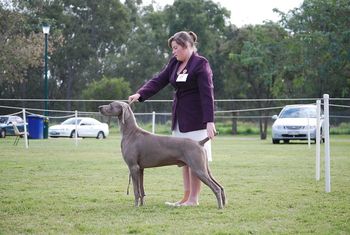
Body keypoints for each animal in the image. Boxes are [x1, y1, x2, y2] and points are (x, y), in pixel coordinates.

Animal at [98, 100, 227, 208]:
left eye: (111, 105)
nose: (99, 107)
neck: (131, 133)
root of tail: (199, 142)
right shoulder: (140, 169)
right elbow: (142, 190)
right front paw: (142, 205)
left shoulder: (133, 167)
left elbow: (136, 190)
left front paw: (135, 206)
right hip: (205, 168)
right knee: (220, 186)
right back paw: (224, 204)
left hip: (198, 169)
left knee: (216, 188)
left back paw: (220, 207)